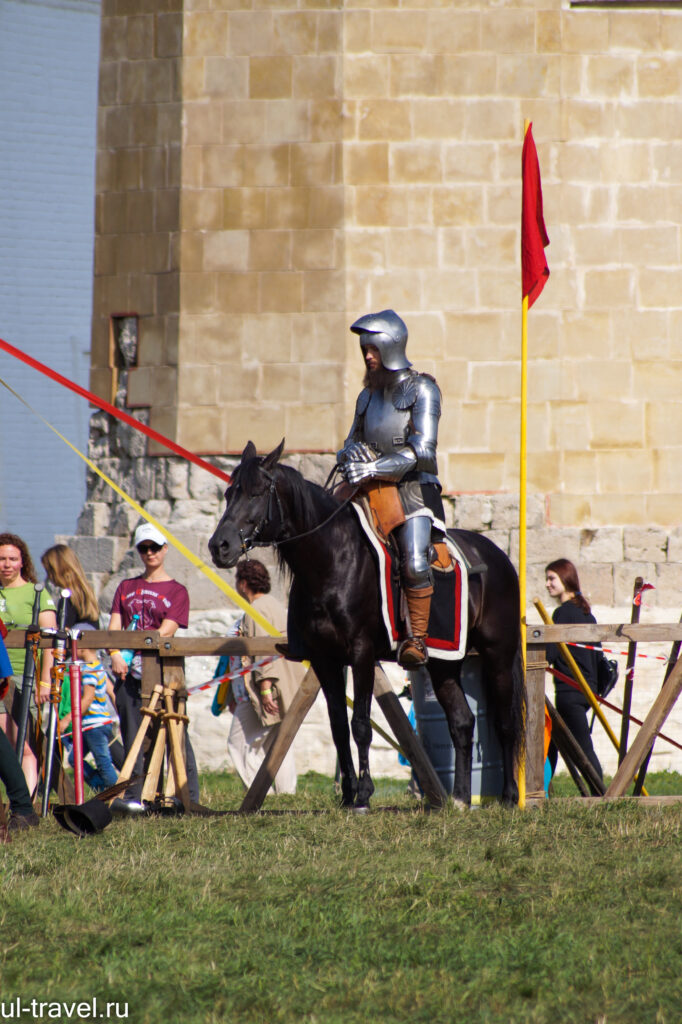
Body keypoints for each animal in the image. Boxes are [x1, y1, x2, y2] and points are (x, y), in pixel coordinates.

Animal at [209, 440, 522, 806]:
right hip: (443, 663)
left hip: (497, 655)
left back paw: (509, 796)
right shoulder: (325, 660)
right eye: (229, 493)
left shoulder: (361, 654)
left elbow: (360, 724)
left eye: (257, 492)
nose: (219, 546)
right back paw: (458, 798)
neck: (331, 560)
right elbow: (338, 728)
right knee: (461, 722)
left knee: (504, 722)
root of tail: (498, 557)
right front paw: (347, 794)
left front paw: (363, 795)